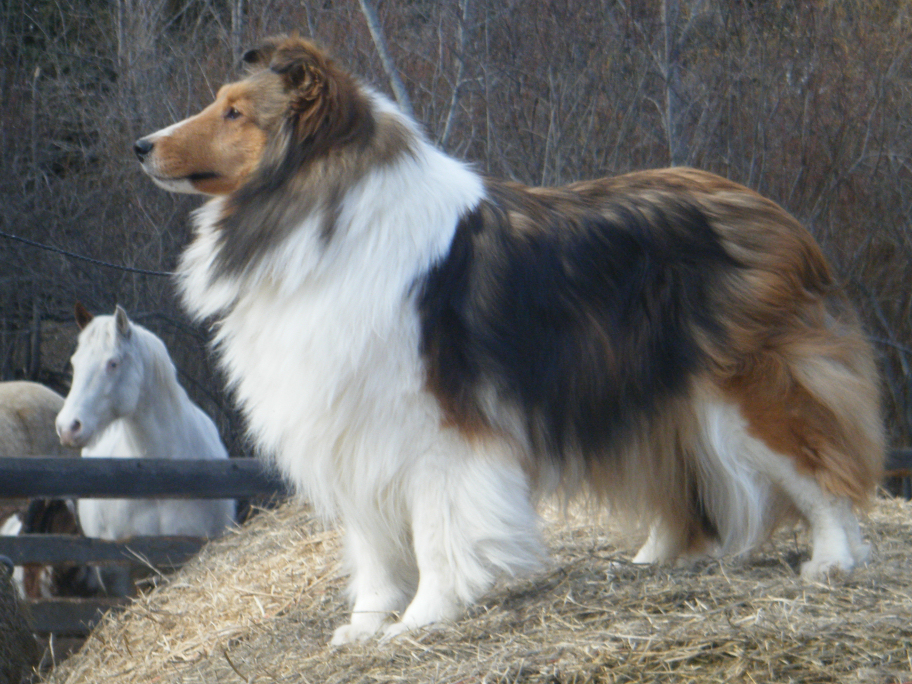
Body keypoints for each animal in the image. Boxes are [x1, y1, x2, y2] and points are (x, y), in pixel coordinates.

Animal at [135, 35, 884, 644]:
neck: (317, 211)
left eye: (235, 112)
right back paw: (654, 558)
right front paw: (365, 628)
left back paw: (834, 560)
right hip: (657, 394)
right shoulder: (353, 426)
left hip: (750, 392)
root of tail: (782, 219)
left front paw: (423, 620)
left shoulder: (435, 430)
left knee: (823, 471)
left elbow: (437, 536)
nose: (141, 147)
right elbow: (373, 546)